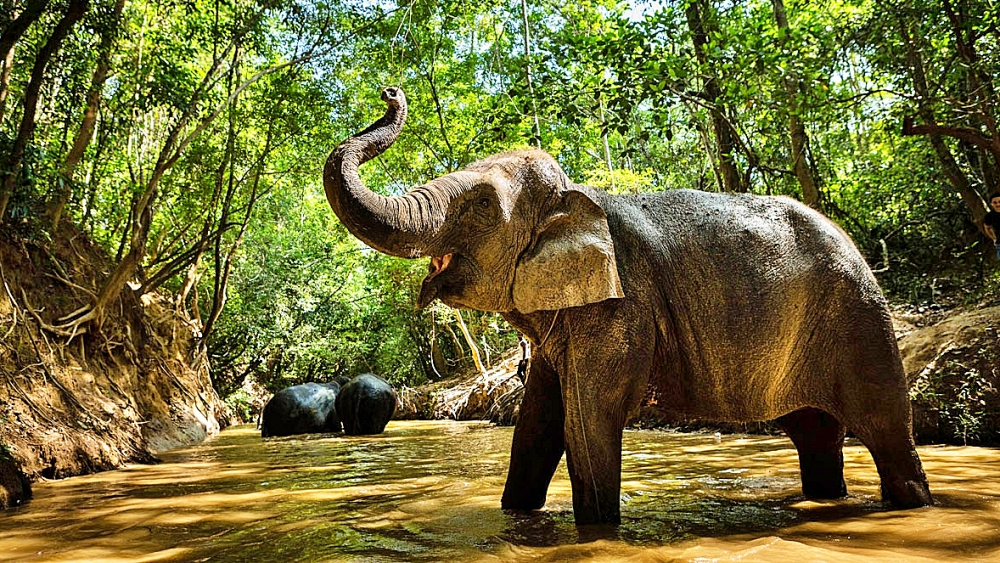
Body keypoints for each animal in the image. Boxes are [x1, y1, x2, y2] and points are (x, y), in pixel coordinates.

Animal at [322, 88, 932, 525]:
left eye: (480, 206)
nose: (390, 92)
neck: (578, 197)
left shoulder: (622, 310)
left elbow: (587, 424)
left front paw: (595, 525)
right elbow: (537, 426)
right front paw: (517, 513)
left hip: (860, 319)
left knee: (886, 432)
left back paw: (912, 504)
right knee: (815, 434)